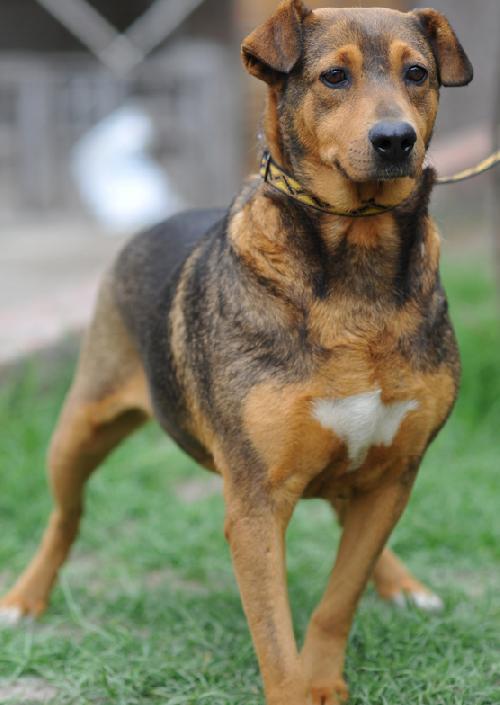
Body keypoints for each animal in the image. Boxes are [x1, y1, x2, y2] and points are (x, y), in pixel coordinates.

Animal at [0, 2, 472, 700]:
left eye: (417, 73)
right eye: (334, 77)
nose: (396, 139)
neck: (356, 254)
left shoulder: (395, 476)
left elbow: (338, 598)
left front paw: (324, 676)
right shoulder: (255, 504)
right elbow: (274, 637)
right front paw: (298, 688)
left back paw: (401, 583)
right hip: (79, 428)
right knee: (67, 516)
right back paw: (25, 598)